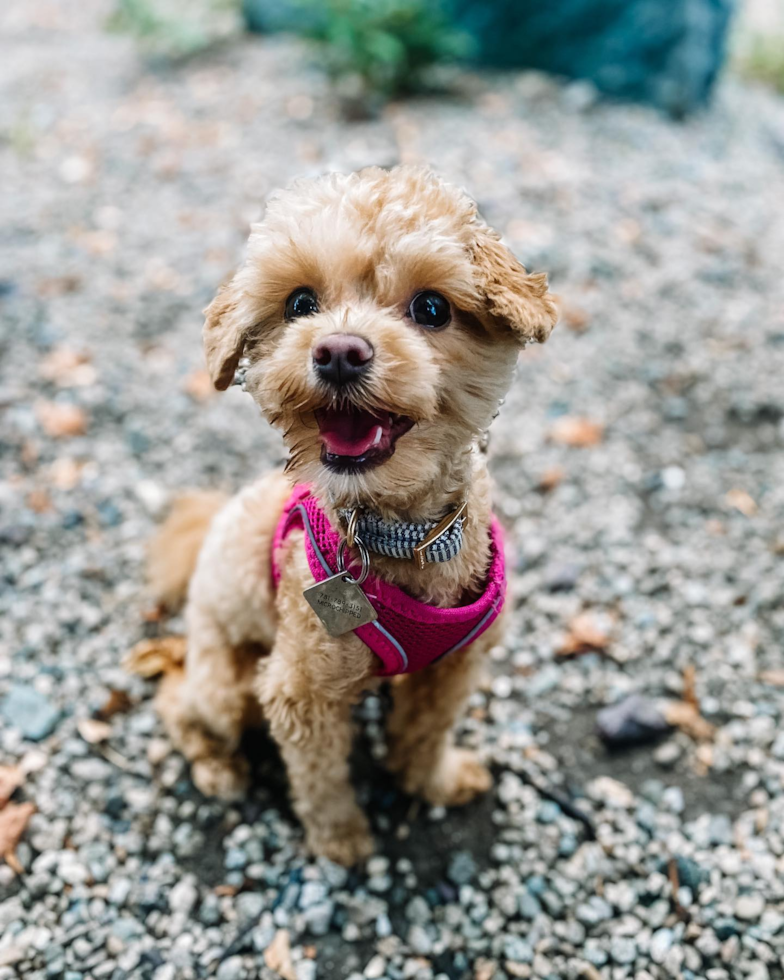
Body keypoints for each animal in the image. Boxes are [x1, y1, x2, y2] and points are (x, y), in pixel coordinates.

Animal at [136, 168, 556, 864]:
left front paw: (433, 782)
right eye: (300, 304)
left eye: (432, 308)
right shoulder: (301, 689)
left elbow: (427, 733)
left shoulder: (455, 668)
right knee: (179, 701)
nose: (337, 350)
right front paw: (342, 840)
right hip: (223, 684)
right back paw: (218, 767)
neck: (404, 536)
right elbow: (320, 776)